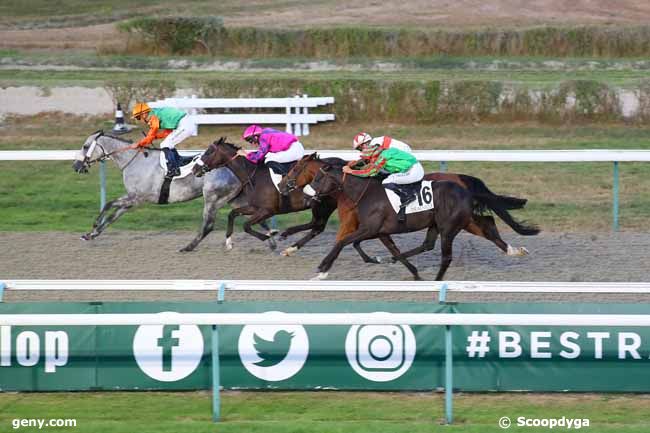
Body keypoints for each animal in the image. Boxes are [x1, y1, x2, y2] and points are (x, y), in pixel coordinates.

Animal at [72, 129, 272, 250]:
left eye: (85, 146)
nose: (76, 166)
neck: (135, 161)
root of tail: (232, 164)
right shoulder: (131, 199)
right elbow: (112, 214)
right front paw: (91, 234)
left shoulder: (136, 198)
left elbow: (109, 205)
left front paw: (94, 226)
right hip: (235, 197)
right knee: (258, 217)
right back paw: (272, 240)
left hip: (213, 198)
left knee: (208, 225)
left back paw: (188, 247)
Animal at [192, 138, 382, 262]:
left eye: (209, 151)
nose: (194, 169)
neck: (252, 175)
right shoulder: (255, 207)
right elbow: (232, 214)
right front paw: (229, 243)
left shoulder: (267, 210)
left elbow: (246, 225)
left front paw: (269, 235)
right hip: (322, 205)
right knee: (317, 227)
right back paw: (290, 245)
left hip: (324, 204)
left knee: (318, 226)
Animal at [278, 153, 536, 258]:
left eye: (295, 168)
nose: (281, 185)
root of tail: (462, 179)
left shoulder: (357, 224)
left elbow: (335, 237)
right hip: (465, 219)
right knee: (487, 225)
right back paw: (514, 250)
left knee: (487, 225)